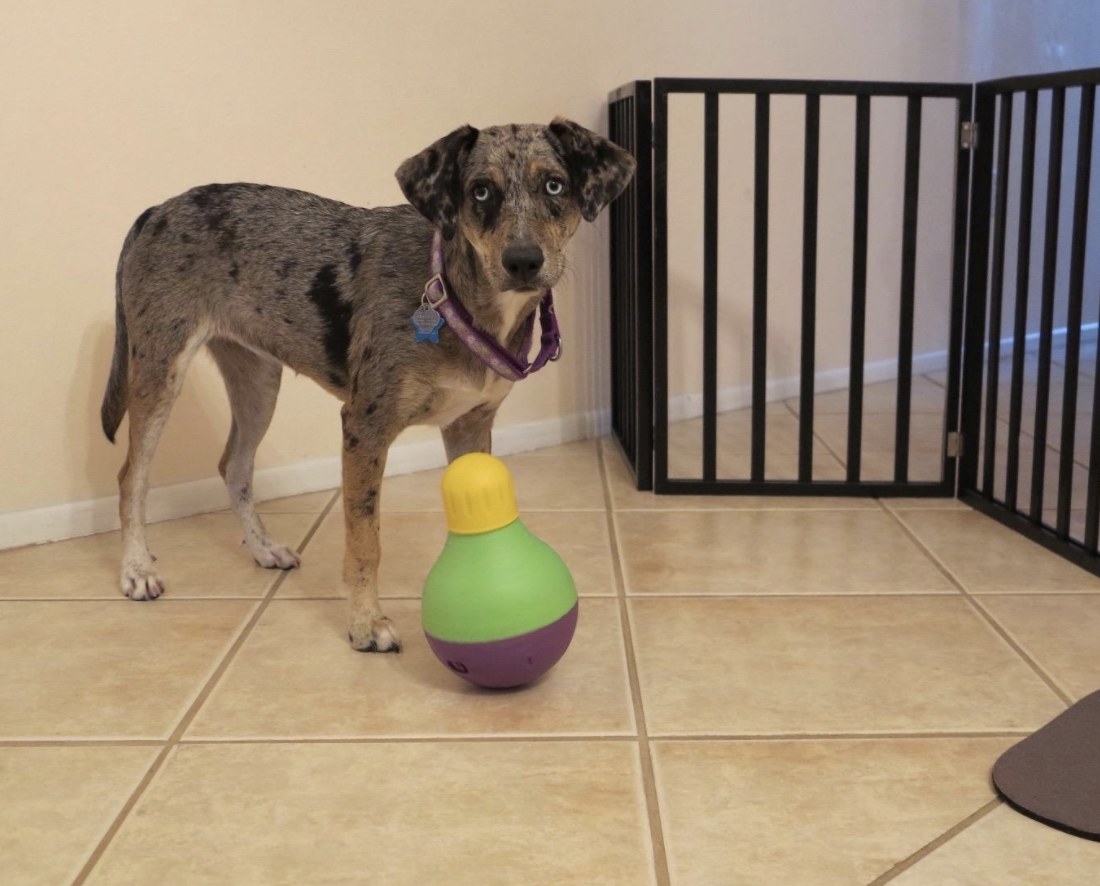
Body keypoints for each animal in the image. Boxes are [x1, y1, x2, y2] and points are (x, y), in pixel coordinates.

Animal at [103, 119, 642, 651]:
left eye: (554, 185)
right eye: (481, 191)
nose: (523, 261)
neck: (453, 293)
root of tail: (154, 211)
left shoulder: (470, 427)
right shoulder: (365, 427)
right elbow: (365, 540)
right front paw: (365, 623)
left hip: (258, 381)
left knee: (233, 466)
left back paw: (263, 549)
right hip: (160, 369)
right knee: (132, 476)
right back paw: (136, 570)